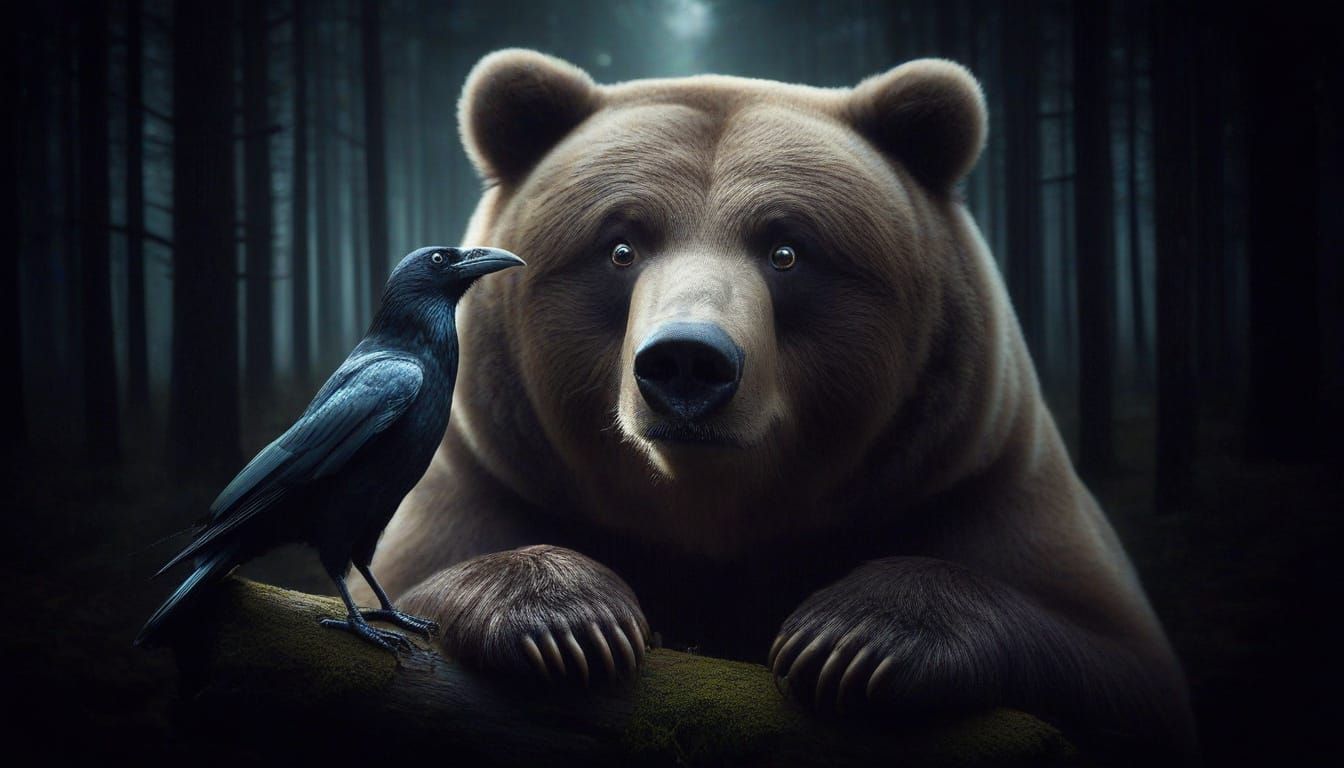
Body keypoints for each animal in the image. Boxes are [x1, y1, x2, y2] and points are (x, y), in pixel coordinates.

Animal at [358, 49, 1196, 758]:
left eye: (787, 249)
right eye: (621, 246)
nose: (687, 361)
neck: (719, 518)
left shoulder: (976, 477)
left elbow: (1113, 661)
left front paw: (853, 640)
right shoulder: (483, 472)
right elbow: (405, 581)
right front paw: (569, 620)